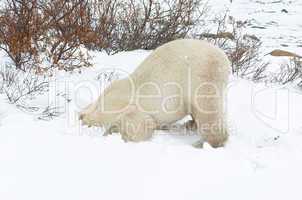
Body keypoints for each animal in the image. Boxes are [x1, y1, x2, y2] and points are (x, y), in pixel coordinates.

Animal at [79, 39, 230, 148]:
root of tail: (223, 59)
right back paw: (189, 124)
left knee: (207, 111)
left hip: (200, 77)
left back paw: (202, 142)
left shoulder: (121, 105)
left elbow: (140, 122)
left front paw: (115, 132)